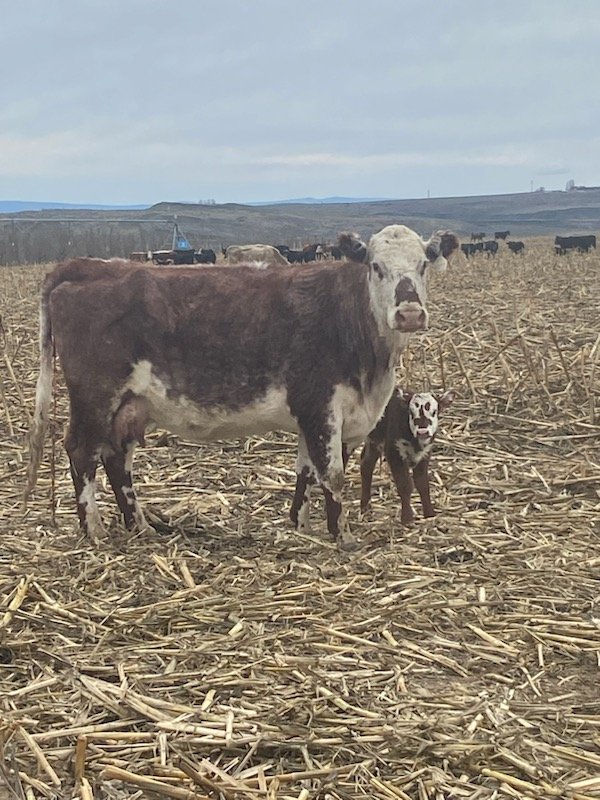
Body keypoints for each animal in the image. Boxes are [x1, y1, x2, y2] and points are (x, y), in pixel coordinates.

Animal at [359, 388, 455, 524]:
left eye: (434, 412)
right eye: (411, 412)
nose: (422, 431)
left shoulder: (424, 455)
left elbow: (422, 484)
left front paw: (429, 513)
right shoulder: (394, 453)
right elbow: (405, 485)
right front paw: (407, 518)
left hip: (374, 440)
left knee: (366, 464)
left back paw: (365, 507)